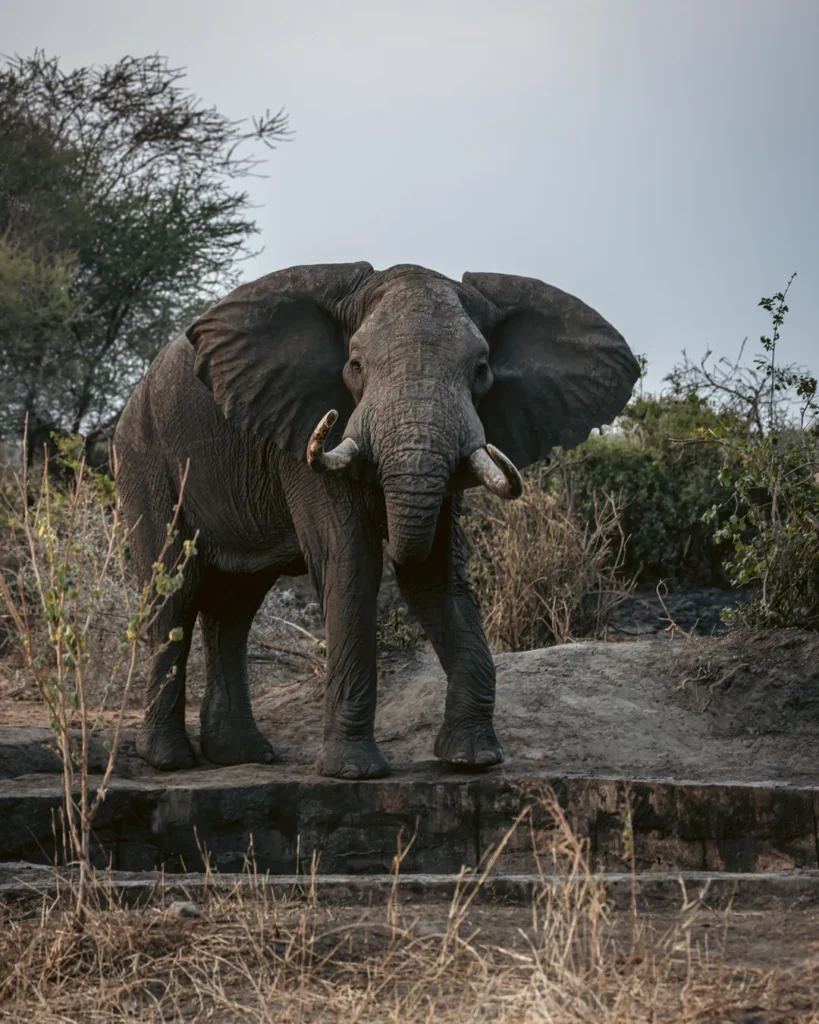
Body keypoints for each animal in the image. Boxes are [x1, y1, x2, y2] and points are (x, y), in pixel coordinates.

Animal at [114, 263, 639, 779]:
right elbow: (351, 561)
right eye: (356, 365)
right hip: (143, 456)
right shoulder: (304, 434)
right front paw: (353, 772)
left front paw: (472, 760)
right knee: (173, 590)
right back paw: (169, 760)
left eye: (481, 370)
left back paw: (241, 755)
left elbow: (435, 574)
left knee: (235, 604)